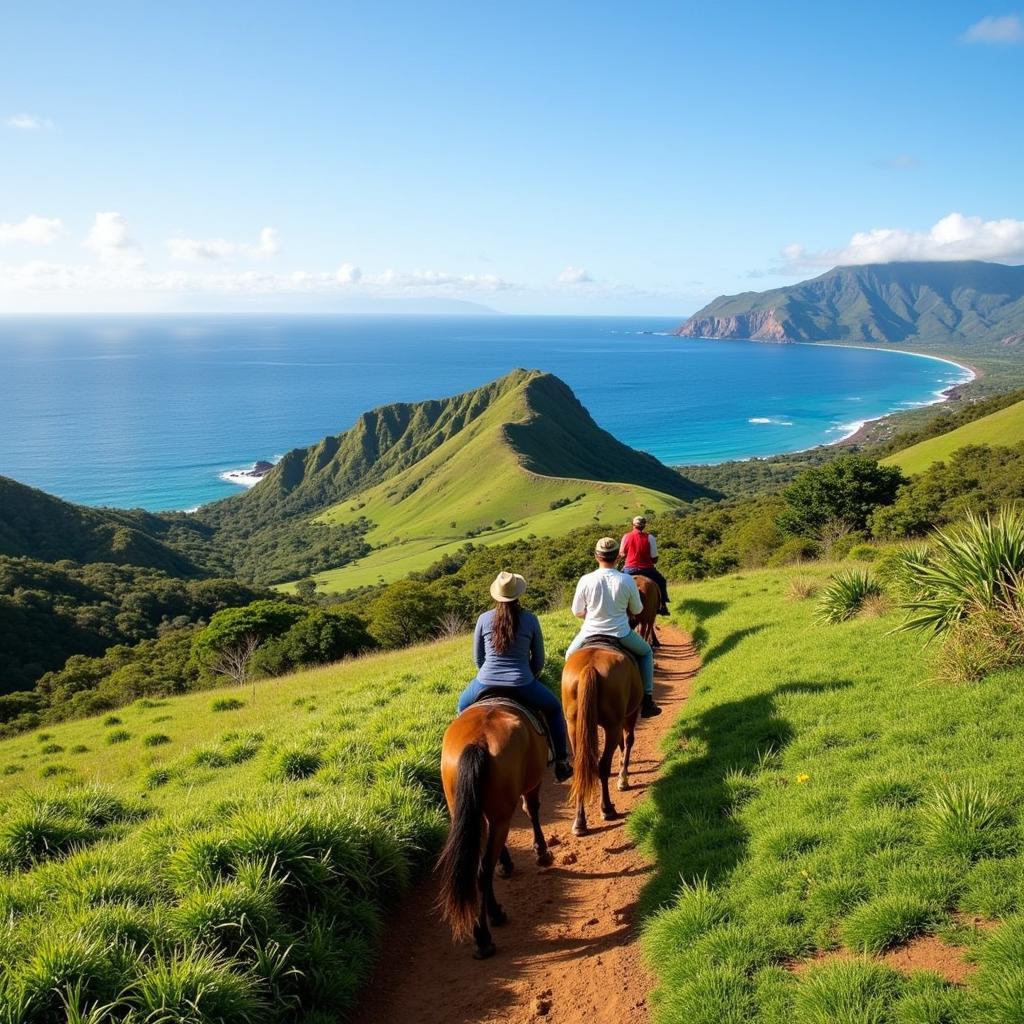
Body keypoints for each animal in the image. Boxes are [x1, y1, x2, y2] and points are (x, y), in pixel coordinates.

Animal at [436, 704, 557, 958]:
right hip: (500, 813)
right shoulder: (533, 783)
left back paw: (492, 915)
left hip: (467, 812)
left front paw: (506, 864)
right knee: (483, 869)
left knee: (479, 868)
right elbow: (532, 809)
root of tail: (478, 741)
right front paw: (541, 852)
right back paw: (483, 937)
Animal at [561, 647, 638, 839]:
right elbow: (628, 741)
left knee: (581, 768)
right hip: (613, 725)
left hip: (573, 725)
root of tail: (590, 667)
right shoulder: (630, 714)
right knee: (603, 766)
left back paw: (580, 822)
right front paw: (623, 778)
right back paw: (607, 808)